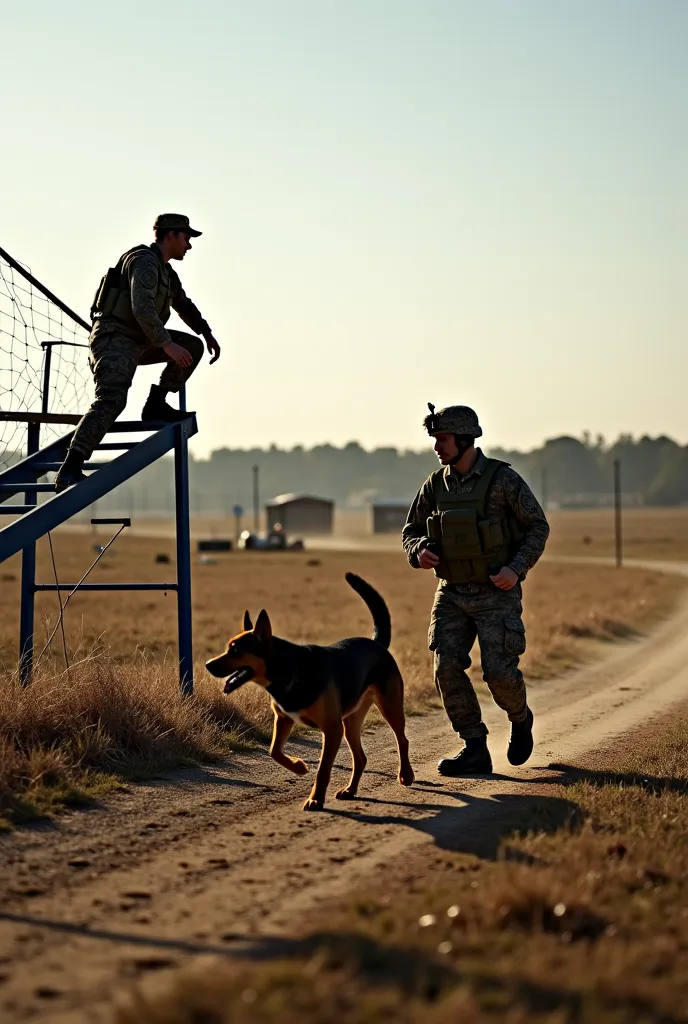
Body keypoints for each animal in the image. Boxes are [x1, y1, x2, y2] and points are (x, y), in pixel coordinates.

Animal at [205, 573, 413, 811]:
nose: (208, 665)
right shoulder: (284, 719)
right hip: (350, 722)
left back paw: (406, 775)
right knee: (361, 758)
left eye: (236, 650)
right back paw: (350, 790)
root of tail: (378, 644)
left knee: (402, 740)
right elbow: (274, 751)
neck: (287, 668)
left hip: (389, 707)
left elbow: (323, 770)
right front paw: (298, 767)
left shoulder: (331, 730)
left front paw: (315, 799)